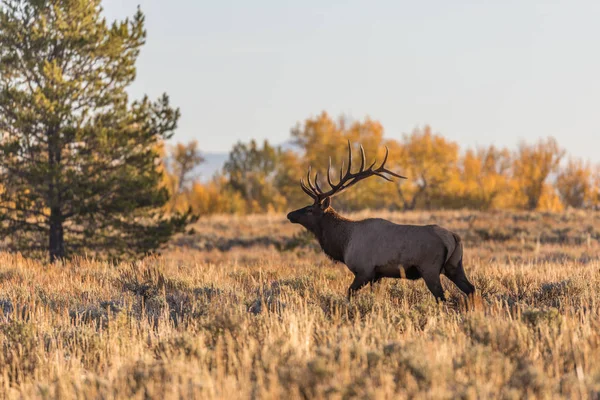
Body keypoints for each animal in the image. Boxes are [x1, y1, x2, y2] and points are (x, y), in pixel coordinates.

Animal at [288, 141, 476, 300]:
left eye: (310, 210)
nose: (290, 214)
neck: (343, 243)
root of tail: (453, 237)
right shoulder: (377, 275)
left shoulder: (364, 271)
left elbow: (349, 293)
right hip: (454, 266)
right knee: (471, 289)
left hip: (430, 268)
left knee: (442, 297)